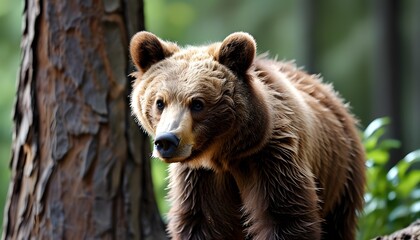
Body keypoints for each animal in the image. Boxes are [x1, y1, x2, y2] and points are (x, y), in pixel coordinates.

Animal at [130, 31, 364, 240]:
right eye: (160, 102)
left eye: (197, 103)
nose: (166, 141)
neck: (224, 155)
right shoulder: (198, 178)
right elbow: (200, 222)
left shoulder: (271, 159)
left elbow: (284, 218)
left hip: (341, 175)